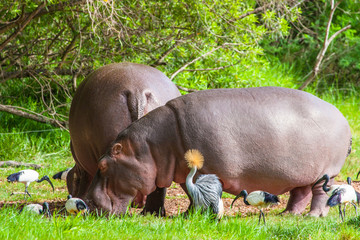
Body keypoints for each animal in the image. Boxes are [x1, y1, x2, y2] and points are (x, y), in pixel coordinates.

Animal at [66, 62, 181, 216]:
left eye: (71, 179)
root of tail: (137, 92)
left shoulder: (82, 167)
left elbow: (85, 181)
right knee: (159, 187)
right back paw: (151, 212)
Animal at [85, 87, 352, 217]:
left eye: (102, 165)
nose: (86, 203)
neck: (150, 146)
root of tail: (342, 116)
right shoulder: (184, 171)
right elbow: (192, 192)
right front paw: (190, 214)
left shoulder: (205, 169)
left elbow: (200, 193)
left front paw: (193, 216)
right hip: (303, 173)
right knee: (300, 194)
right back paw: (288, 214)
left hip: (327, 173)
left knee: (319, 195)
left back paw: (313, 217)